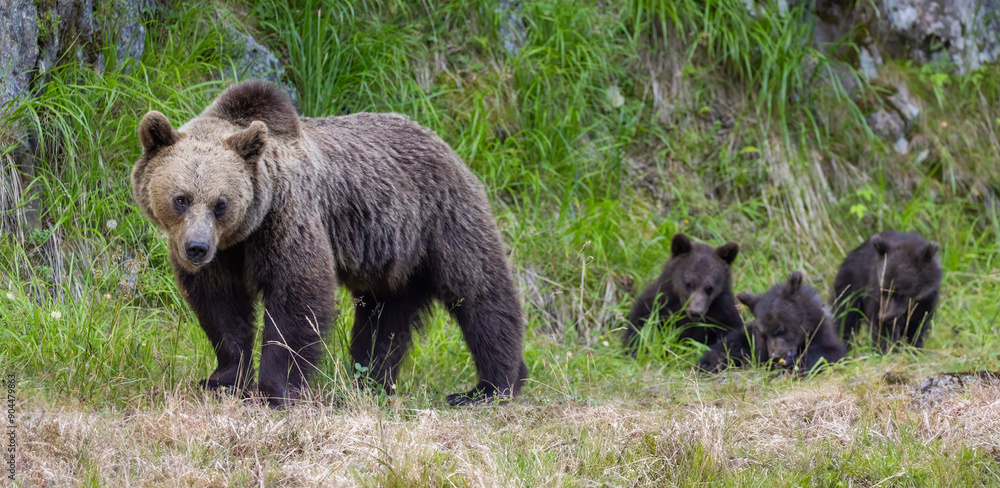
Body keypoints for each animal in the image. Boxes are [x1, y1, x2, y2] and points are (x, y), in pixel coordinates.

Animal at [131, 80, 528, 407]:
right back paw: (368, 382)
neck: (244, 232)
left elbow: (297, 294)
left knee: (480, 293)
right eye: (181, 198)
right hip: (393, 259)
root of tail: (447, 145)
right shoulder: (226, 254)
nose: (196, 248)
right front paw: (222, 380)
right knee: (384, 319)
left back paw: (492, 386)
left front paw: (273, 391)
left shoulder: (285, 218)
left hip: (442, 220)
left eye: (220, 203)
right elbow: (220, 306)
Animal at [698, 271, 847, 373]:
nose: (775, 356)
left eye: (780, 330)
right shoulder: (756, 343)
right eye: (764, 335)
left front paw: (796, 364)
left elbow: (829, 352)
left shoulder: (821, 331)